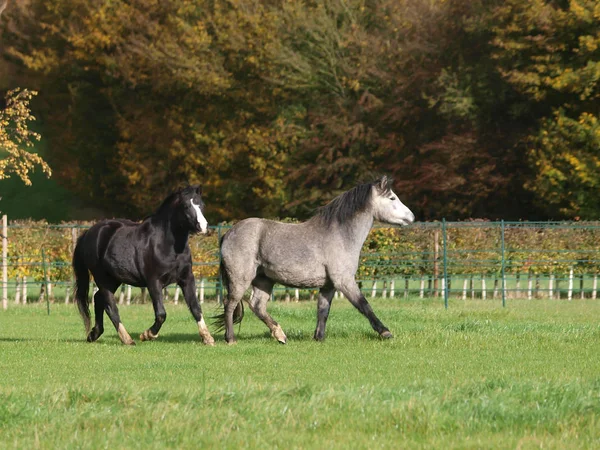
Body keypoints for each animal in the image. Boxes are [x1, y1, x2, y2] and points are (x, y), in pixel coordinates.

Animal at [72, 185, 214, 346]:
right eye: (185, 206)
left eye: (202, 205)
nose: (203, 227)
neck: (167, 245)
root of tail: (89, 232)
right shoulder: (154, 282)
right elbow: (161, 314)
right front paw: (147, 335)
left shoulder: (187, 279)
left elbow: (196, 308)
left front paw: (207, 338)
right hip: (102, 278)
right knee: (110, 306)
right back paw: (127, 339)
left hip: (114, 279)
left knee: (98, 299)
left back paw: (94, 334)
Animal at [216, 176, 418, 344]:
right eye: (392, 198)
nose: (412, 217)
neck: (341, 236)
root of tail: (228, 233)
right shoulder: (344, 281)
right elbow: (364, 305)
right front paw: (385, 332)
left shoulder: (328, 285)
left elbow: (323, 311)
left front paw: (318, 338)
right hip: (241, 279)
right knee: (230, 304)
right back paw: (230, 339)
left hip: (263, 280)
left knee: (257, 306)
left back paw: (280, 335)